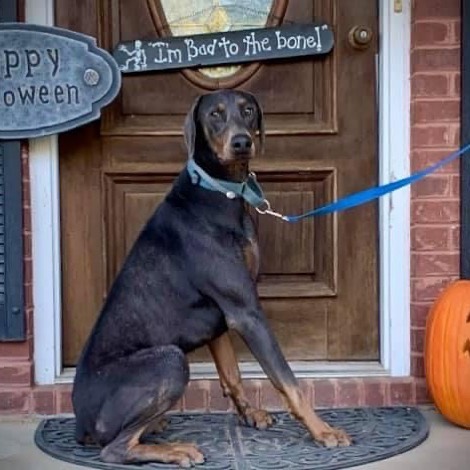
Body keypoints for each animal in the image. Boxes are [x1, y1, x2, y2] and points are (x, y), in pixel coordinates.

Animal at [70, 88, 348, 466]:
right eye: (214, 114)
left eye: (248, 110)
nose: (242, 142)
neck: (220, 191)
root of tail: (80, 423)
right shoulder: (246, 311)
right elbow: (286, 380)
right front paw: (323, 431)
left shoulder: (221, 318)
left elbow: (232, 373)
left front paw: (249, 414)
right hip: (169, 360)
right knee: (115, 448)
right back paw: (175, 449)